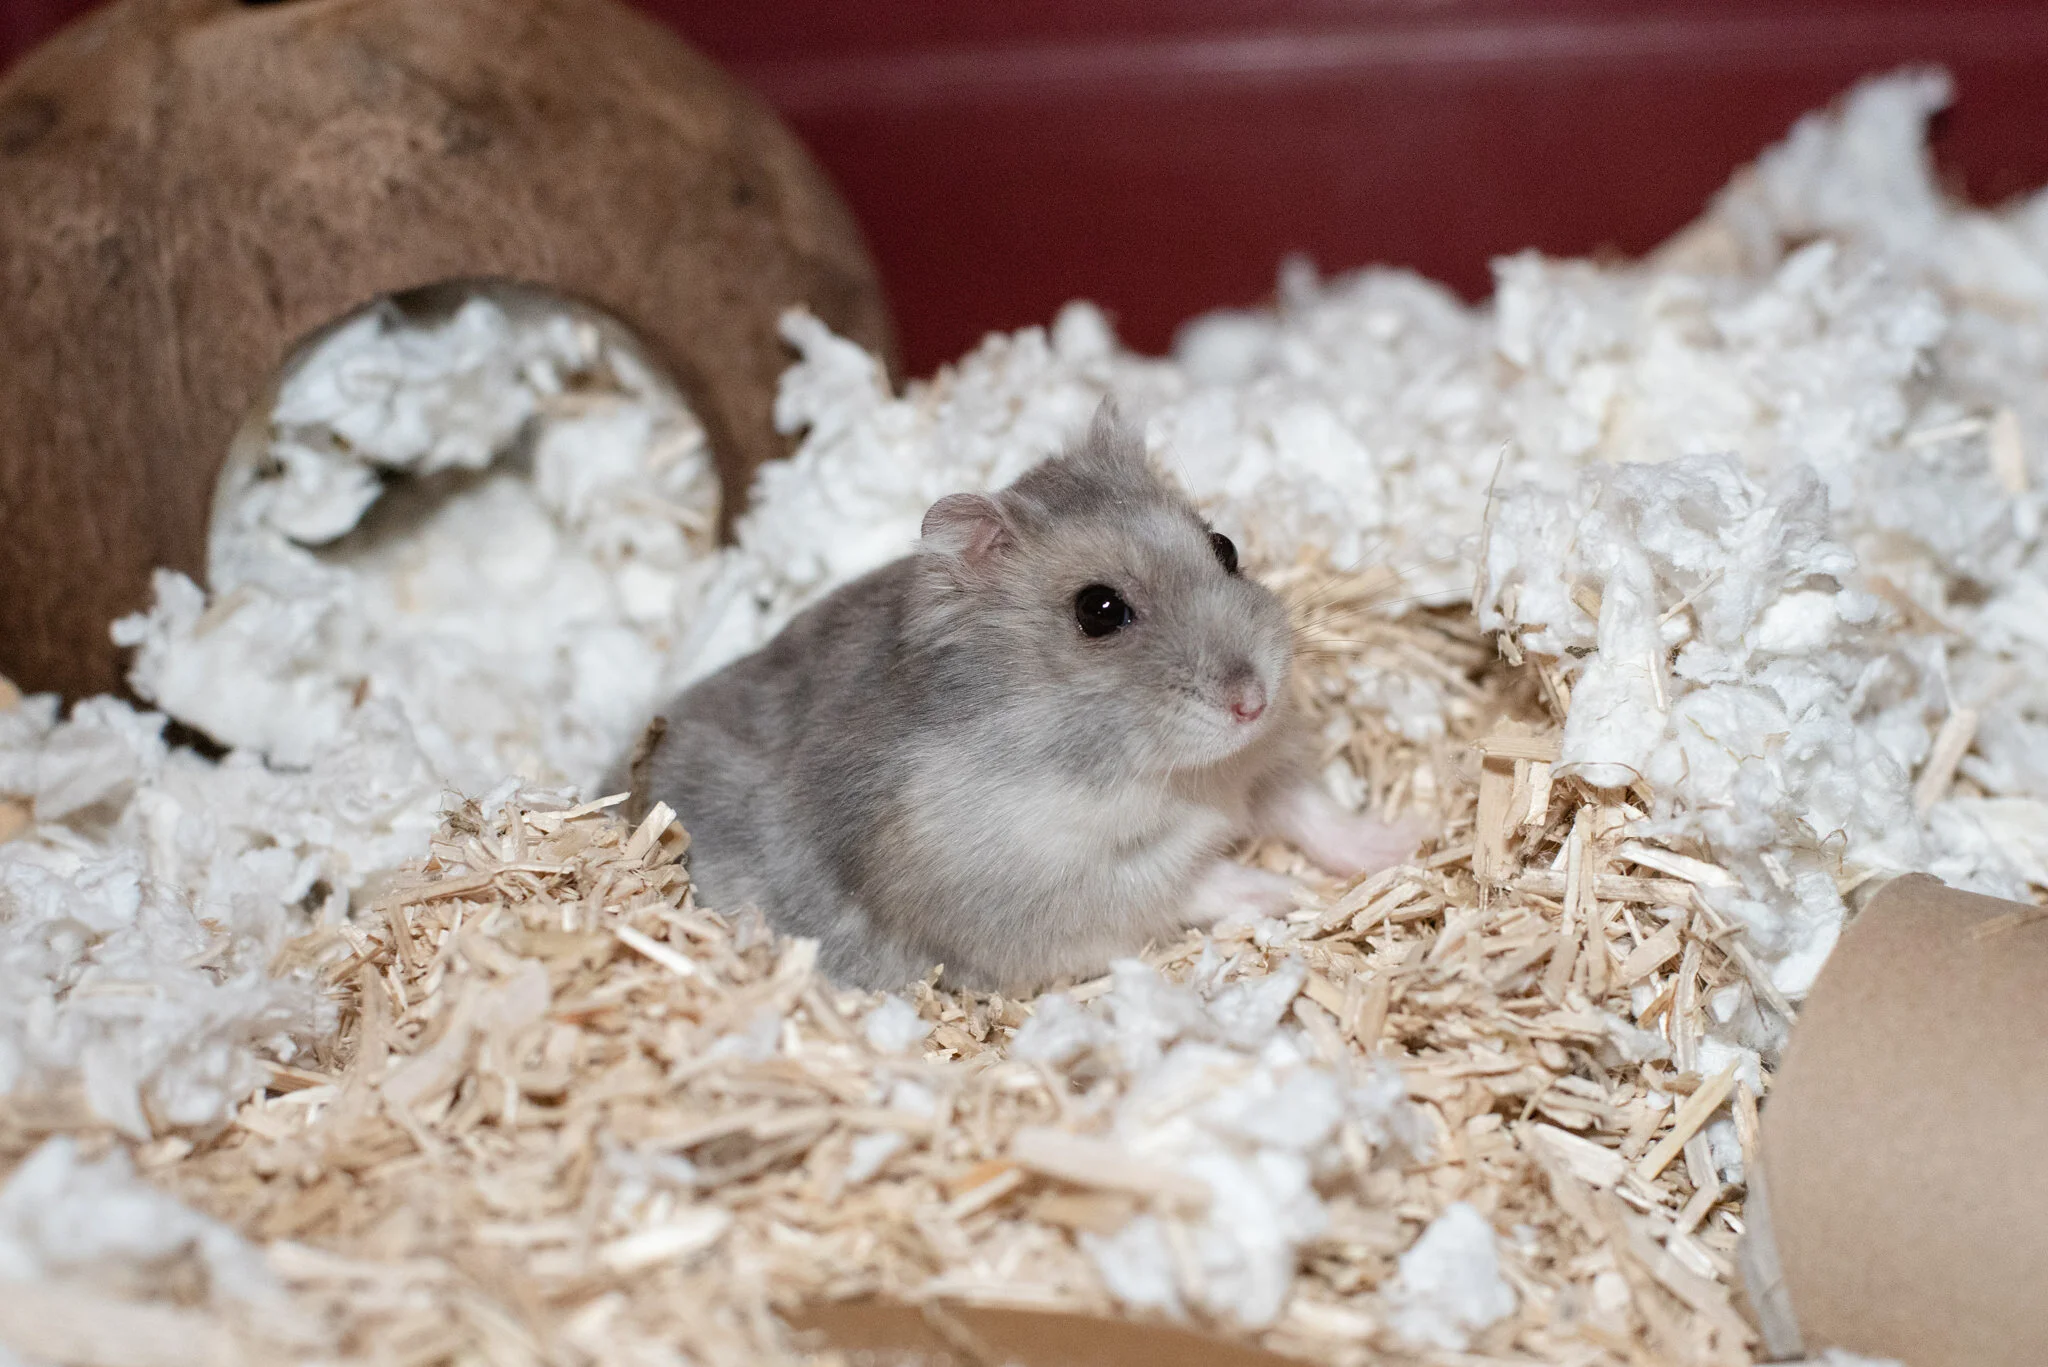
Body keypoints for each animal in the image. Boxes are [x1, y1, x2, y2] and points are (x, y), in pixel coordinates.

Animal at [617, 402, 1421, 993]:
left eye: (1224, 546)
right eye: (1099, 611)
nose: (1251, 702)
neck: (1173, 770)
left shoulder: (1264, 762)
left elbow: (1310, 808)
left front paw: (1397, 846)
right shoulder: (1061, 886)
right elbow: (1195, 881)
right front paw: (1284, 895)